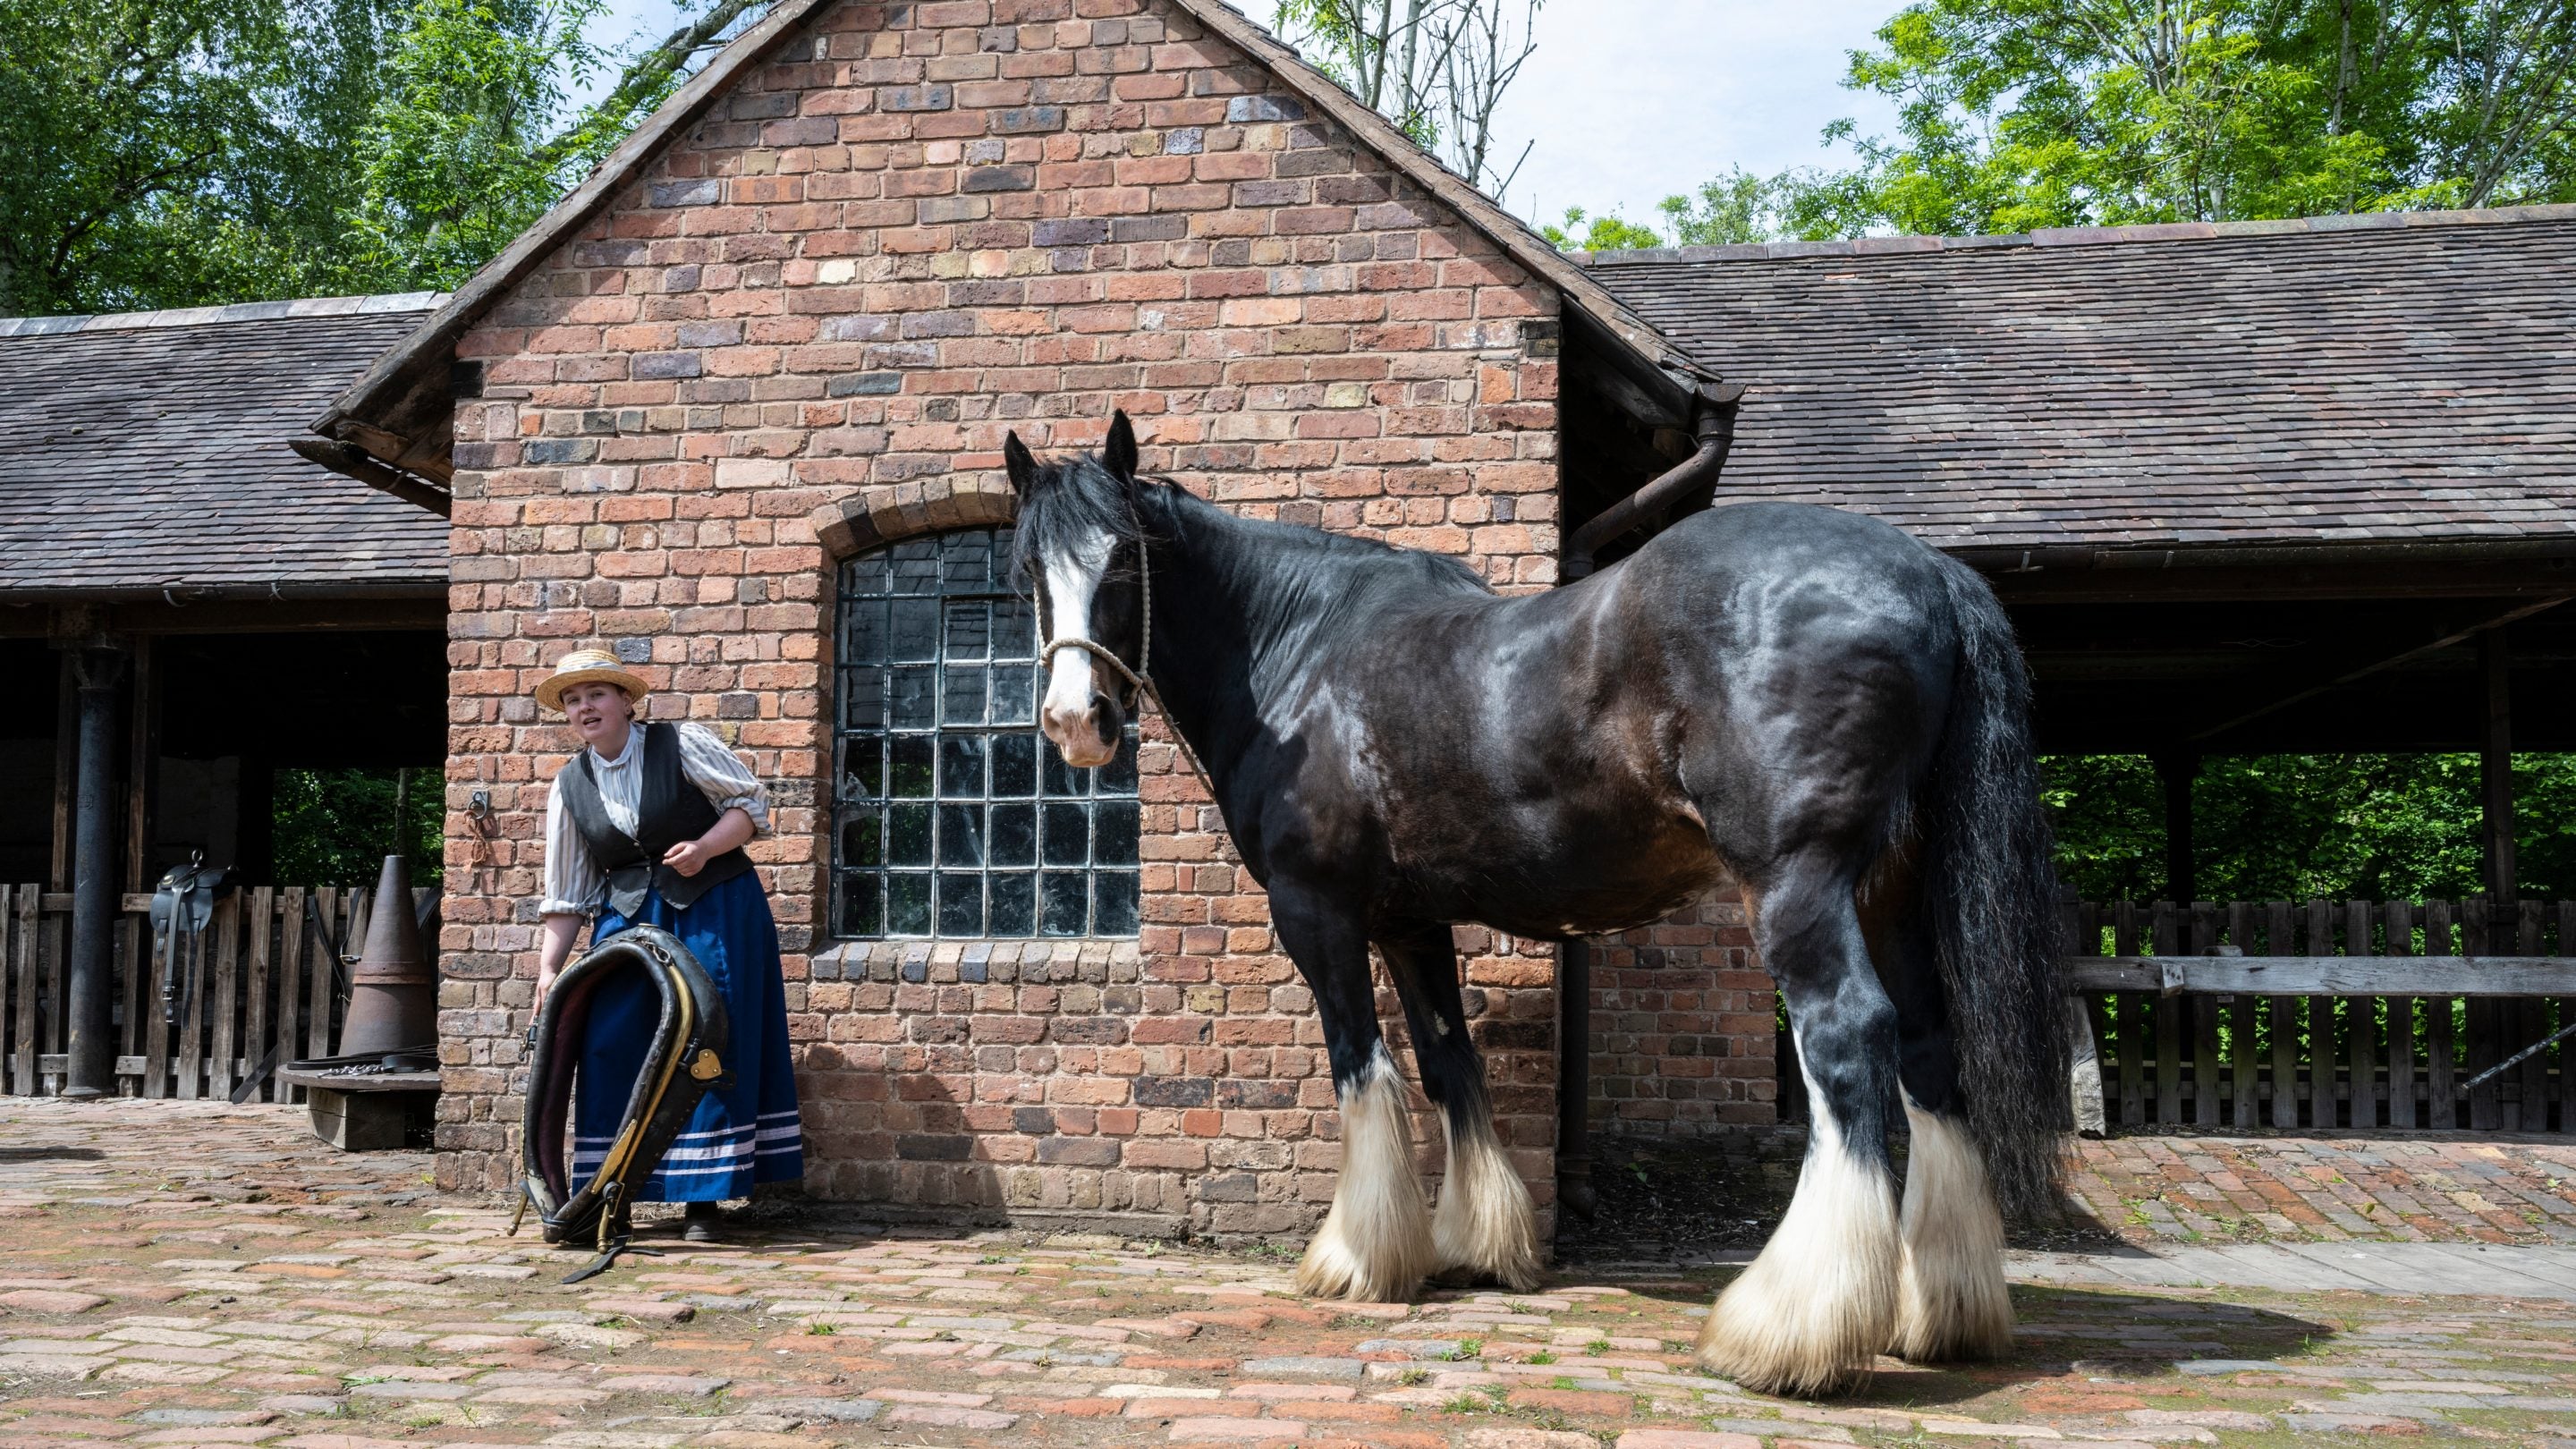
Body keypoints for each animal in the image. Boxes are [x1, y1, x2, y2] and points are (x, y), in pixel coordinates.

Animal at [1000, 412, 2067, 1396]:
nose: (1074, 722)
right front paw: (1475, 1244)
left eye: (1126, 557)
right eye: (1025, 572)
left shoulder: (1320, 913)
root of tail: (1929, 571)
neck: (1298, 652)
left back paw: (1787, 1333)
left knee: (1848, 1038)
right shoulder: (1411, 922)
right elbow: (1447, 1062)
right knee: (1927, 1046)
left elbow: (1363, 1066)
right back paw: (1942, 1314)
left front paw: (1356, 1259)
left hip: (1798, 880)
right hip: (1892, 890)